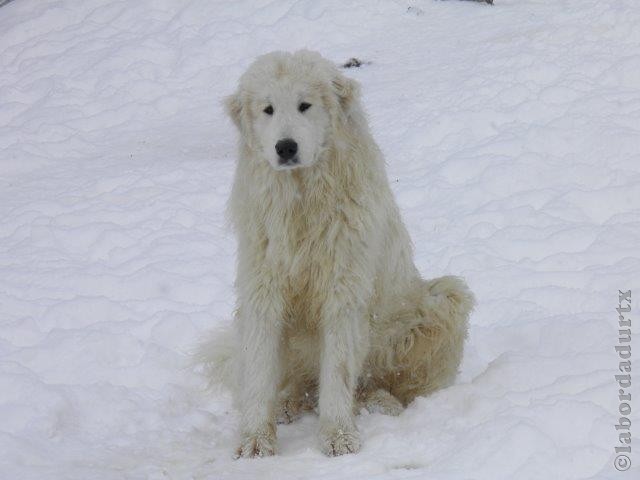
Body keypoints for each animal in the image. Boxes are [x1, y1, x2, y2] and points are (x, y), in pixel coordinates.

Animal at [220, 50, 476, 460]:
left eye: (305, 105)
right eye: (268, 109)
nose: (286, 147)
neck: (303, 200)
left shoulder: (344, 288)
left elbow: (338, 370)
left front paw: (338, 437)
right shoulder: (263, 287)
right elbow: (259, 370)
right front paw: (256, 441)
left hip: (440, 300)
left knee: (388, 384)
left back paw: (379, 402)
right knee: (300, 383)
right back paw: (289, 403)